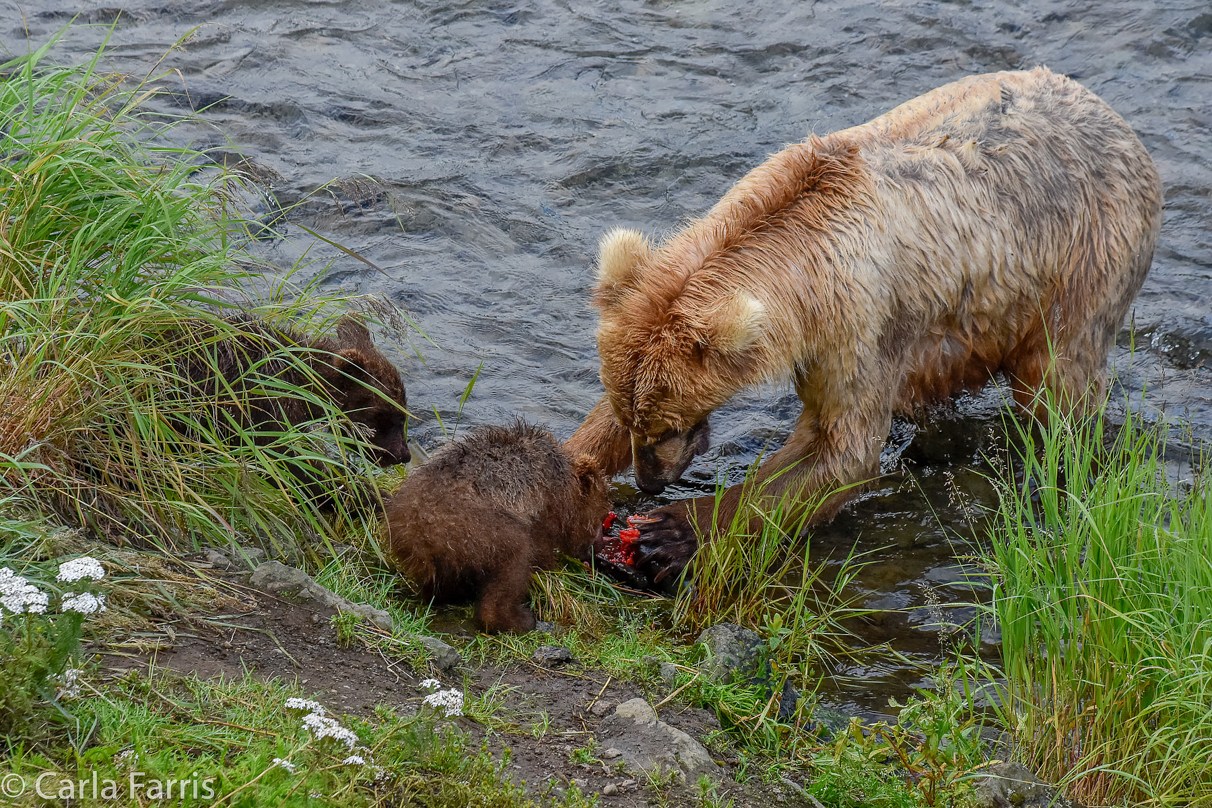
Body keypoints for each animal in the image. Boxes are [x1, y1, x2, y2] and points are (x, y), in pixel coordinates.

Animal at [567, 67, 1163, 581]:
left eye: (667, 425)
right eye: (632, 417)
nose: (650, 483)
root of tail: (1119, 121)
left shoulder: (859, 322)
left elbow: (841, 452)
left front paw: (672, 533)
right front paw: (570, 471)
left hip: (1083, 265)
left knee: (1057, 387)